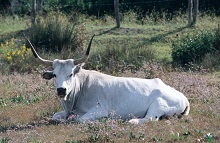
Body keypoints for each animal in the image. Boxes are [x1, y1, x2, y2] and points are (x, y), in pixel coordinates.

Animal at [25, 34, 189, 124]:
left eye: (70, 74)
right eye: (54, 75)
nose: (61, 90)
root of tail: (183, 97)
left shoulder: (98, 110)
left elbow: (78, 119)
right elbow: (55, 116)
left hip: (158, 105)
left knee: (150, 118)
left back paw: (132, 120)